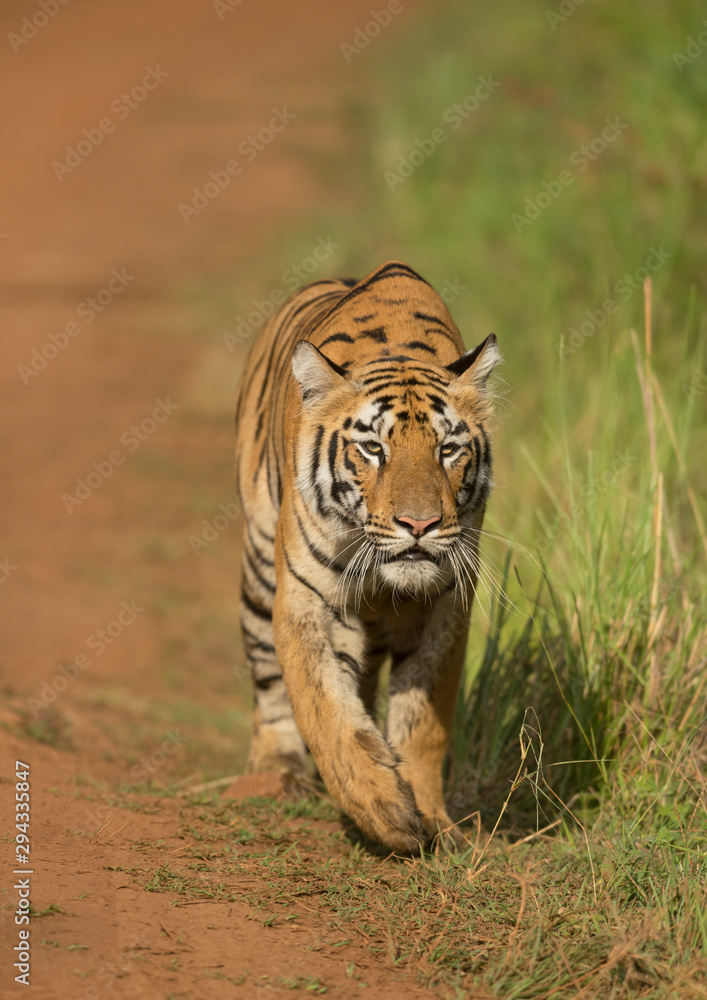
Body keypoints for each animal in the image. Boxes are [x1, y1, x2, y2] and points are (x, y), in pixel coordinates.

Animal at [233, 259, 499, 852]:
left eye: (448, 449)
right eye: (374, 448)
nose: (419, 525)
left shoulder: (446, 605)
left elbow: (423, 720)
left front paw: (431, 818)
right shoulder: (306, 598)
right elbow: (324, 707)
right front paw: (385, 812)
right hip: (259, 565)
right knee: (268, 681)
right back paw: (277, 770)